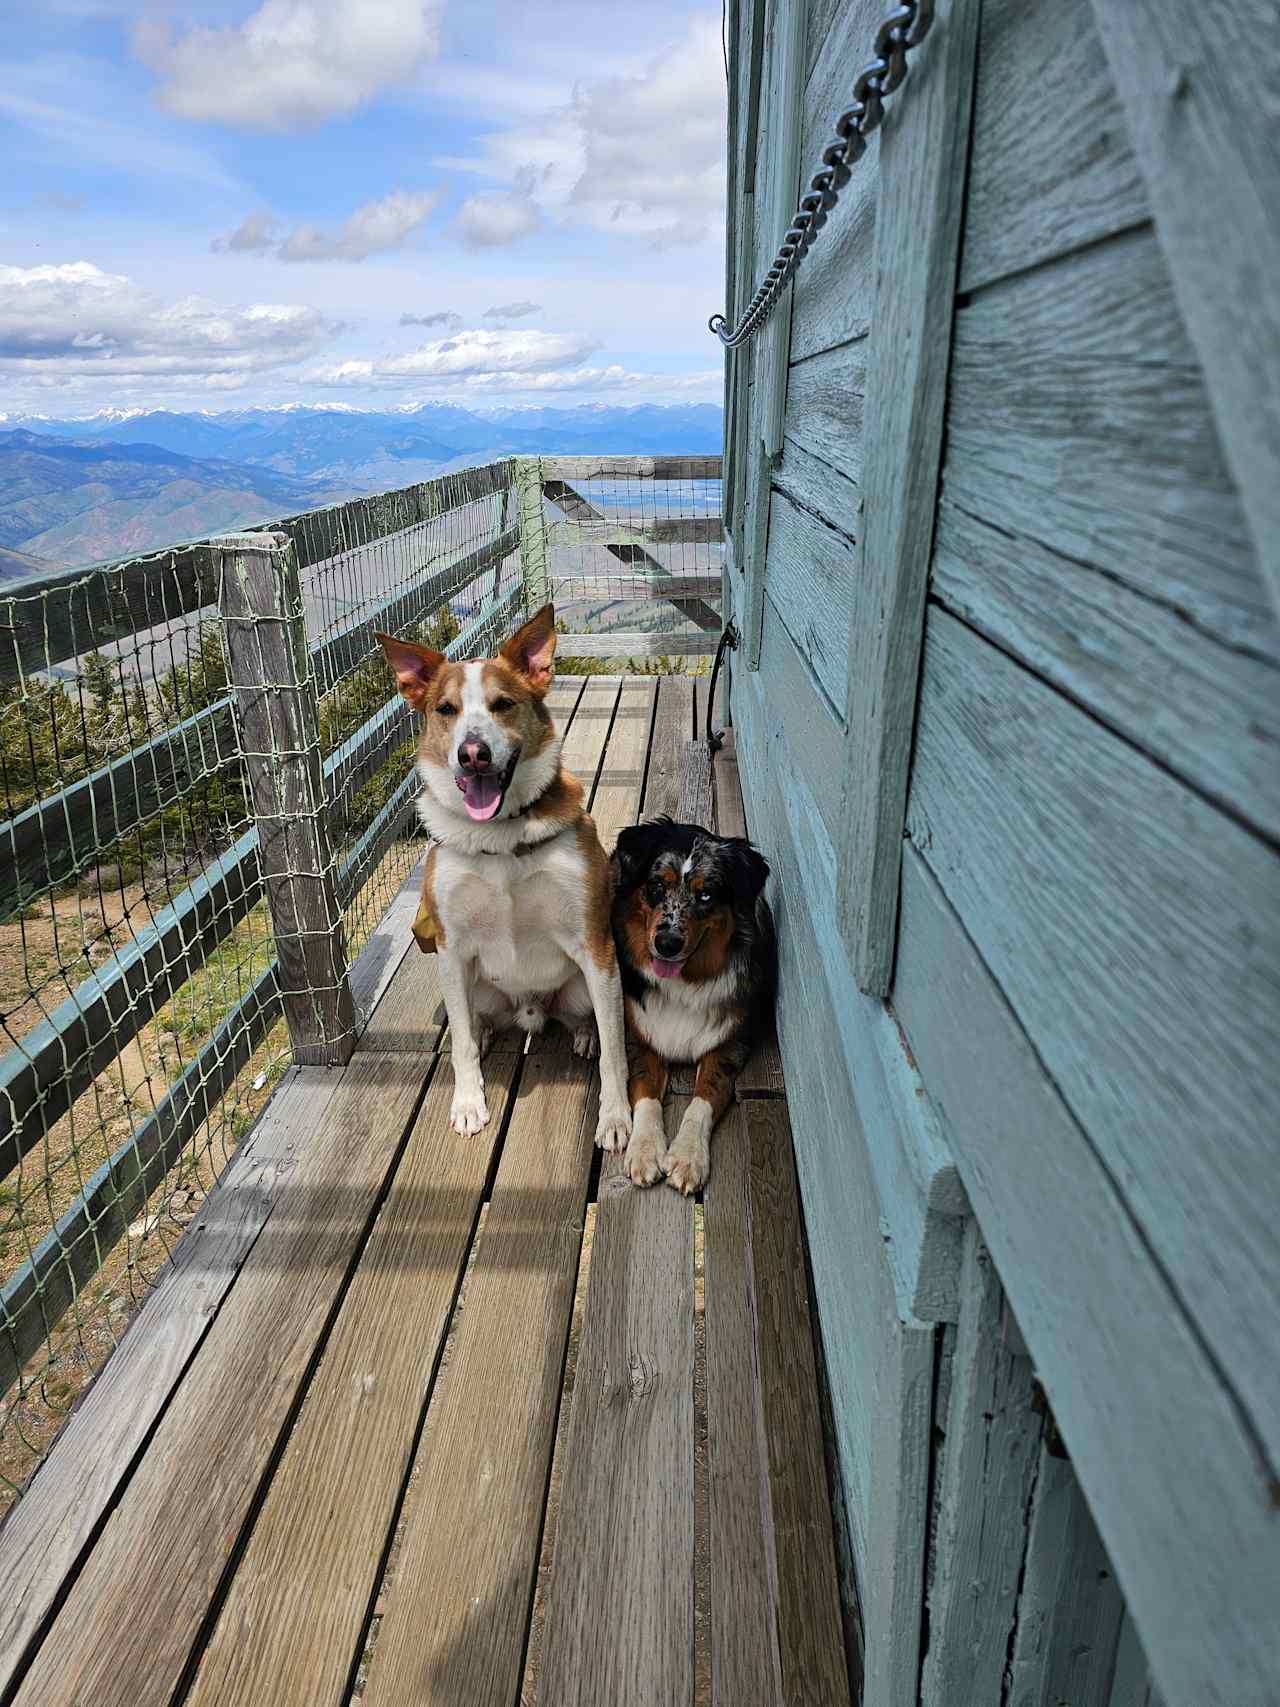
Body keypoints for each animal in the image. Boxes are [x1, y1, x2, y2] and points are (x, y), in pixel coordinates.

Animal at [375, 607, 638, 1153]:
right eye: (446, 709)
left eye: (503, 705)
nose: (472, 753)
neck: (498, 836)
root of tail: (529, 1010)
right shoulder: (452, 948)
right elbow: (460, 1046)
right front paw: (469, 1103)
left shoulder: (595, 947)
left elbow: (616, 1053)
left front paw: (615, 1117)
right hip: (473, 986)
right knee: (471, 1023)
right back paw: (485, 1032)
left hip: (587, 984)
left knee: (593, 1021)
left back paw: (585, 1035)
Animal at [614, 819, 781, 1194]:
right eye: (657, 885)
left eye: (706, 895)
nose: (667, 943)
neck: (685, 983)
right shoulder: (640, 1037)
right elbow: (645, 1095)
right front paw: (645, 1150)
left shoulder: (728, 1044)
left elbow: (703, 1099)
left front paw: (688, 1157)